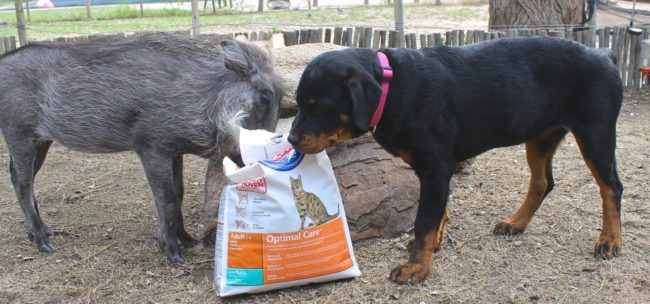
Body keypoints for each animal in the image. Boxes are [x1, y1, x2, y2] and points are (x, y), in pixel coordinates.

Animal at [0, 33, 284, 264]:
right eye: (265, 97)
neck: (203, 94)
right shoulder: (151, 148)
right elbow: (166, 198)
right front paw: (173, 252)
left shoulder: (174, 151)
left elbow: (178, 193)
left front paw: (187, 240)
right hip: (20, 136)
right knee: (21, 183)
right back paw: (42, 242)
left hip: (41, 141)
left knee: (23, 180)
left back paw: (43, 232)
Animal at [288, 36, 624, 284]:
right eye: (300, 102)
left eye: (321, 107)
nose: (291, 140)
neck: (392, 89)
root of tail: (604, 53)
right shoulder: (437, 169)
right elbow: (439, 212)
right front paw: (431, 248)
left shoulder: (435, 168)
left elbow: (424, 220)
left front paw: (416, 268)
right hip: (540, 136)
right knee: (542, 183)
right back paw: (515, 222)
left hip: (595, 133)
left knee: (611, 187)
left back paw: (609, 241)